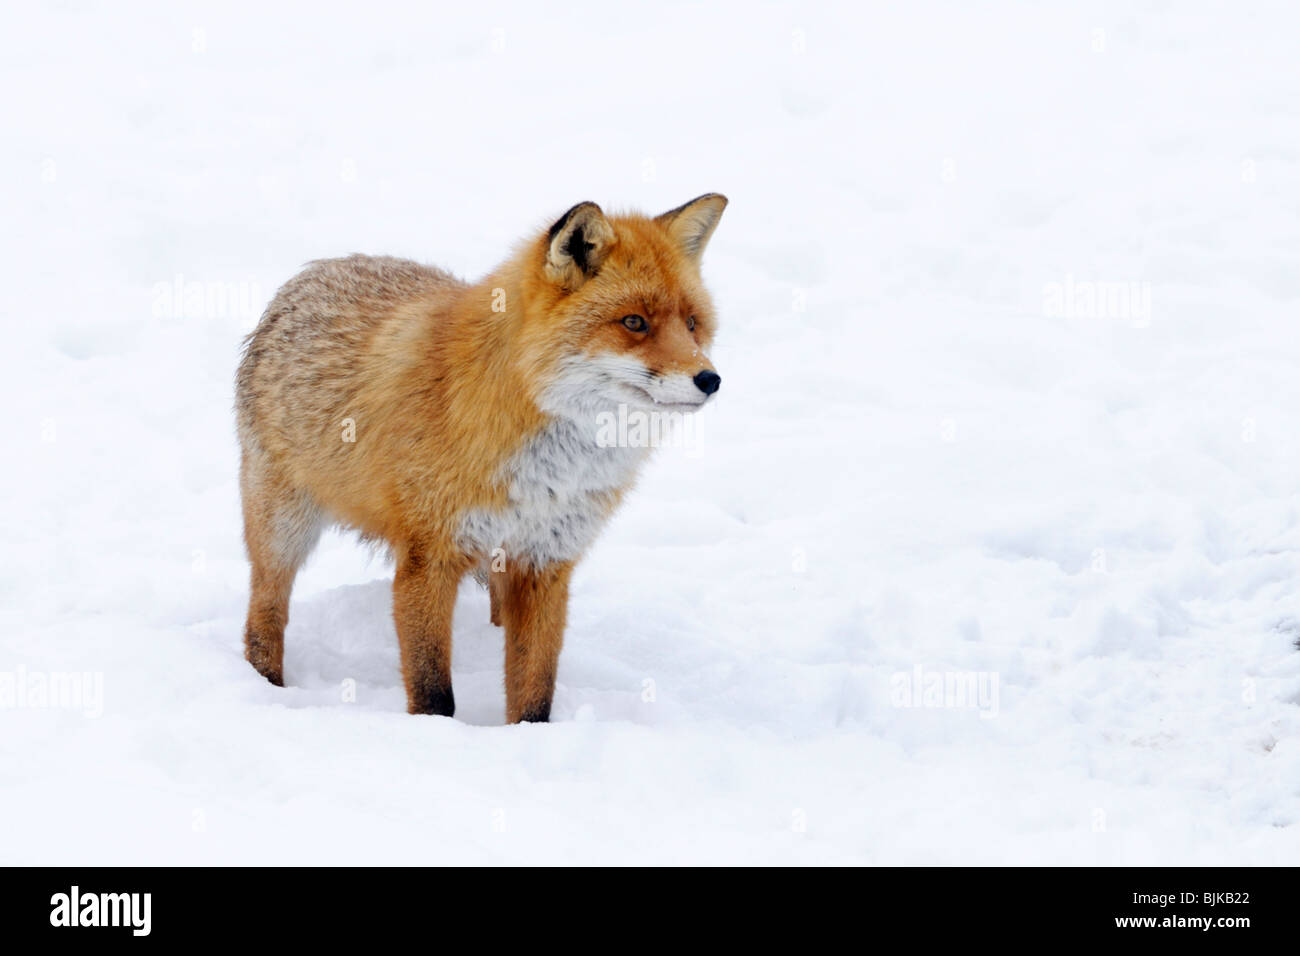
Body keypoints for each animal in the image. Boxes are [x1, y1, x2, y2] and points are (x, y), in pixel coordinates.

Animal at [235, 194, 727, 722]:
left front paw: (528, 735)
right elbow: (433, 690)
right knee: (264, 614)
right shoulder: (429, 557)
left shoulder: (546, 561)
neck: (551, 468)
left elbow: (534, 689)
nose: (710, 380)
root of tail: (317, 270)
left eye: (693, 324)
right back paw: (266, 686)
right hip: (283, 530)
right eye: (634, 322)